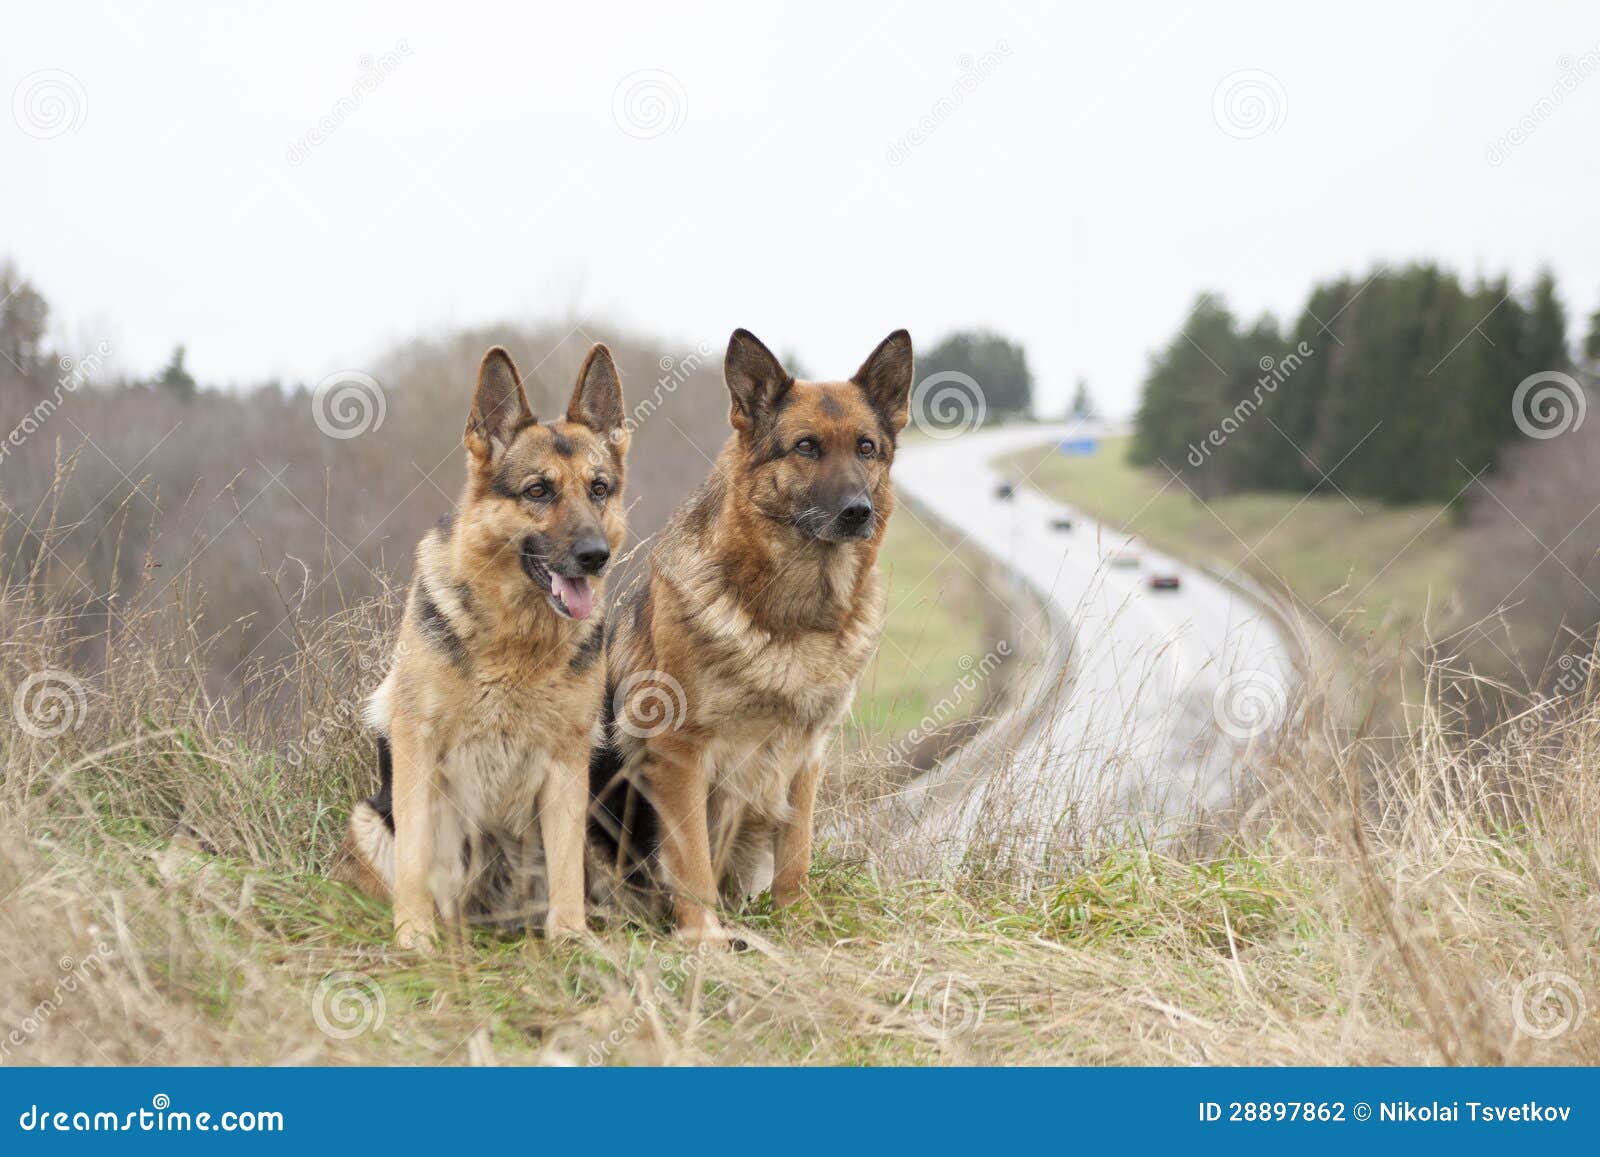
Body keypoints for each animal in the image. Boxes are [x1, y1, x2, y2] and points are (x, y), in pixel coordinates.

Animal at [337, 339, 630, 947]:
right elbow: (418, 859)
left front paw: (570, 937)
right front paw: (414, 936)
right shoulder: (419, 746)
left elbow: (565, 868)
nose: (595, 556)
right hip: (372, 818)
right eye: (538, 491)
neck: (515, 643)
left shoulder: (567, 762)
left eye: (599, 489)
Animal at [588, 326, 915, 940]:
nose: (858, 512)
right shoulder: (680, 752)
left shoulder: (806, 753)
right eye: (806, 447)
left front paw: (797, 922)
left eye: (866, 448)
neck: (795, 617)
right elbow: (690, 858)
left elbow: (796, 854)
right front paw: (704, 939)